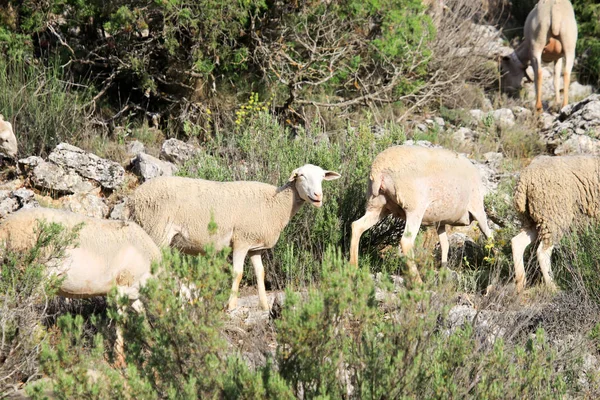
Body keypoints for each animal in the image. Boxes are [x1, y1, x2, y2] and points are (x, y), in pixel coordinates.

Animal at [0, 208, 162, 368]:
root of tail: (6, 227)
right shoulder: (122, 287)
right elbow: (121, 322)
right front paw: (119, 360)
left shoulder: (133, 294)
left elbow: (143, 317)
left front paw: (151, 344)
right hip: (35, 275)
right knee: (24, 311)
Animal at [128, 164, 340, 310]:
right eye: (301, 175)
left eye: (322, 176)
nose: (318, 196)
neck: (276, 203)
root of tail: (135, 197)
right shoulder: (241, 240)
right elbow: (238, 273)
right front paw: (231, 305)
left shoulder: (255, 246)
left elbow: (260, 273)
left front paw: (264, 305)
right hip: (156, 231)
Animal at [346, 145, 492, 282]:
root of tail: (379, 170)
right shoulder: (478, 208)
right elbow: (488, 235)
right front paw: (494, 257)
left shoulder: (440, 222)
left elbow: (445, 245)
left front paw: (443, 272)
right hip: (414, 208)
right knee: (406, 241)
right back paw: (418, 282)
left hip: (378, 206)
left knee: (357, 226)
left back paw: (353, 268)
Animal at [510, 155, 600, 292]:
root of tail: (524, 179)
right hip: (554, 216)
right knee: (542, 252)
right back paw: (553, 288)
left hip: (535, 219)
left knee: (517, 242)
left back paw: (521, 284)